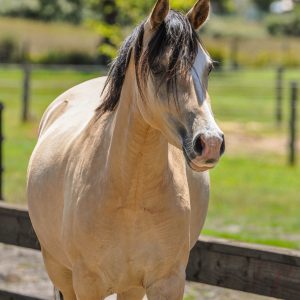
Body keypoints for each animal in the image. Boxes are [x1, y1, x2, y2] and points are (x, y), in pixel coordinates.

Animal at [28, 1, 224, 298]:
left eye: (209, 68)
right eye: (158, 66)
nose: (210, 142)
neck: (131, 192)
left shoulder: (168, 281)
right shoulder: (87, 282)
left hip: (130, 285)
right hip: (60, 270)